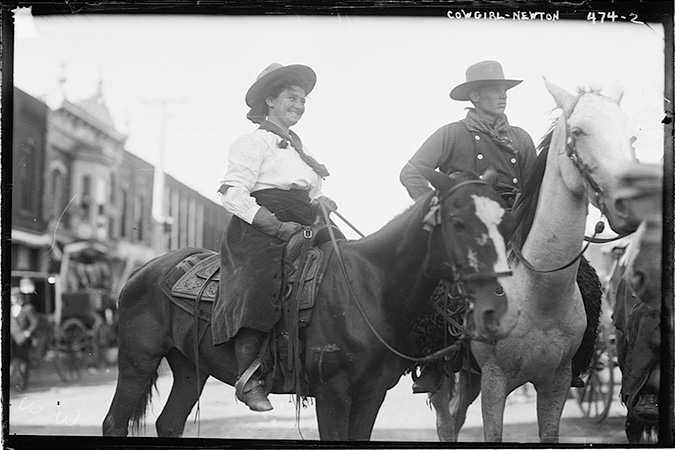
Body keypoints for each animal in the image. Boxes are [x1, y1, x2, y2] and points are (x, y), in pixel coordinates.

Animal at [103, 169, 516, 440]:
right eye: (458, 223)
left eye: (505, 224)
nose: (495, 308)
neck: (370, 287)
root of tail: (144, 270)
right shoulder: (332, 394)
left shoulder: (371, 395)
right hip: (138, 361)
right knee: (114, 422)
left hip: (190, 368)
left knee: (169, 423)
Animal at [430, 78, 640, 442]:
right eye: (579, 131)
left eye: (627, 131)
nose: (626, 202)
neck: (539, 292)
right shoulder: (494, 380)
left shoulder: (557, 382)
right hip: (445, 371)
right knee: (445, 423)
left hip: (469, 376)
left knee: (456, 418)